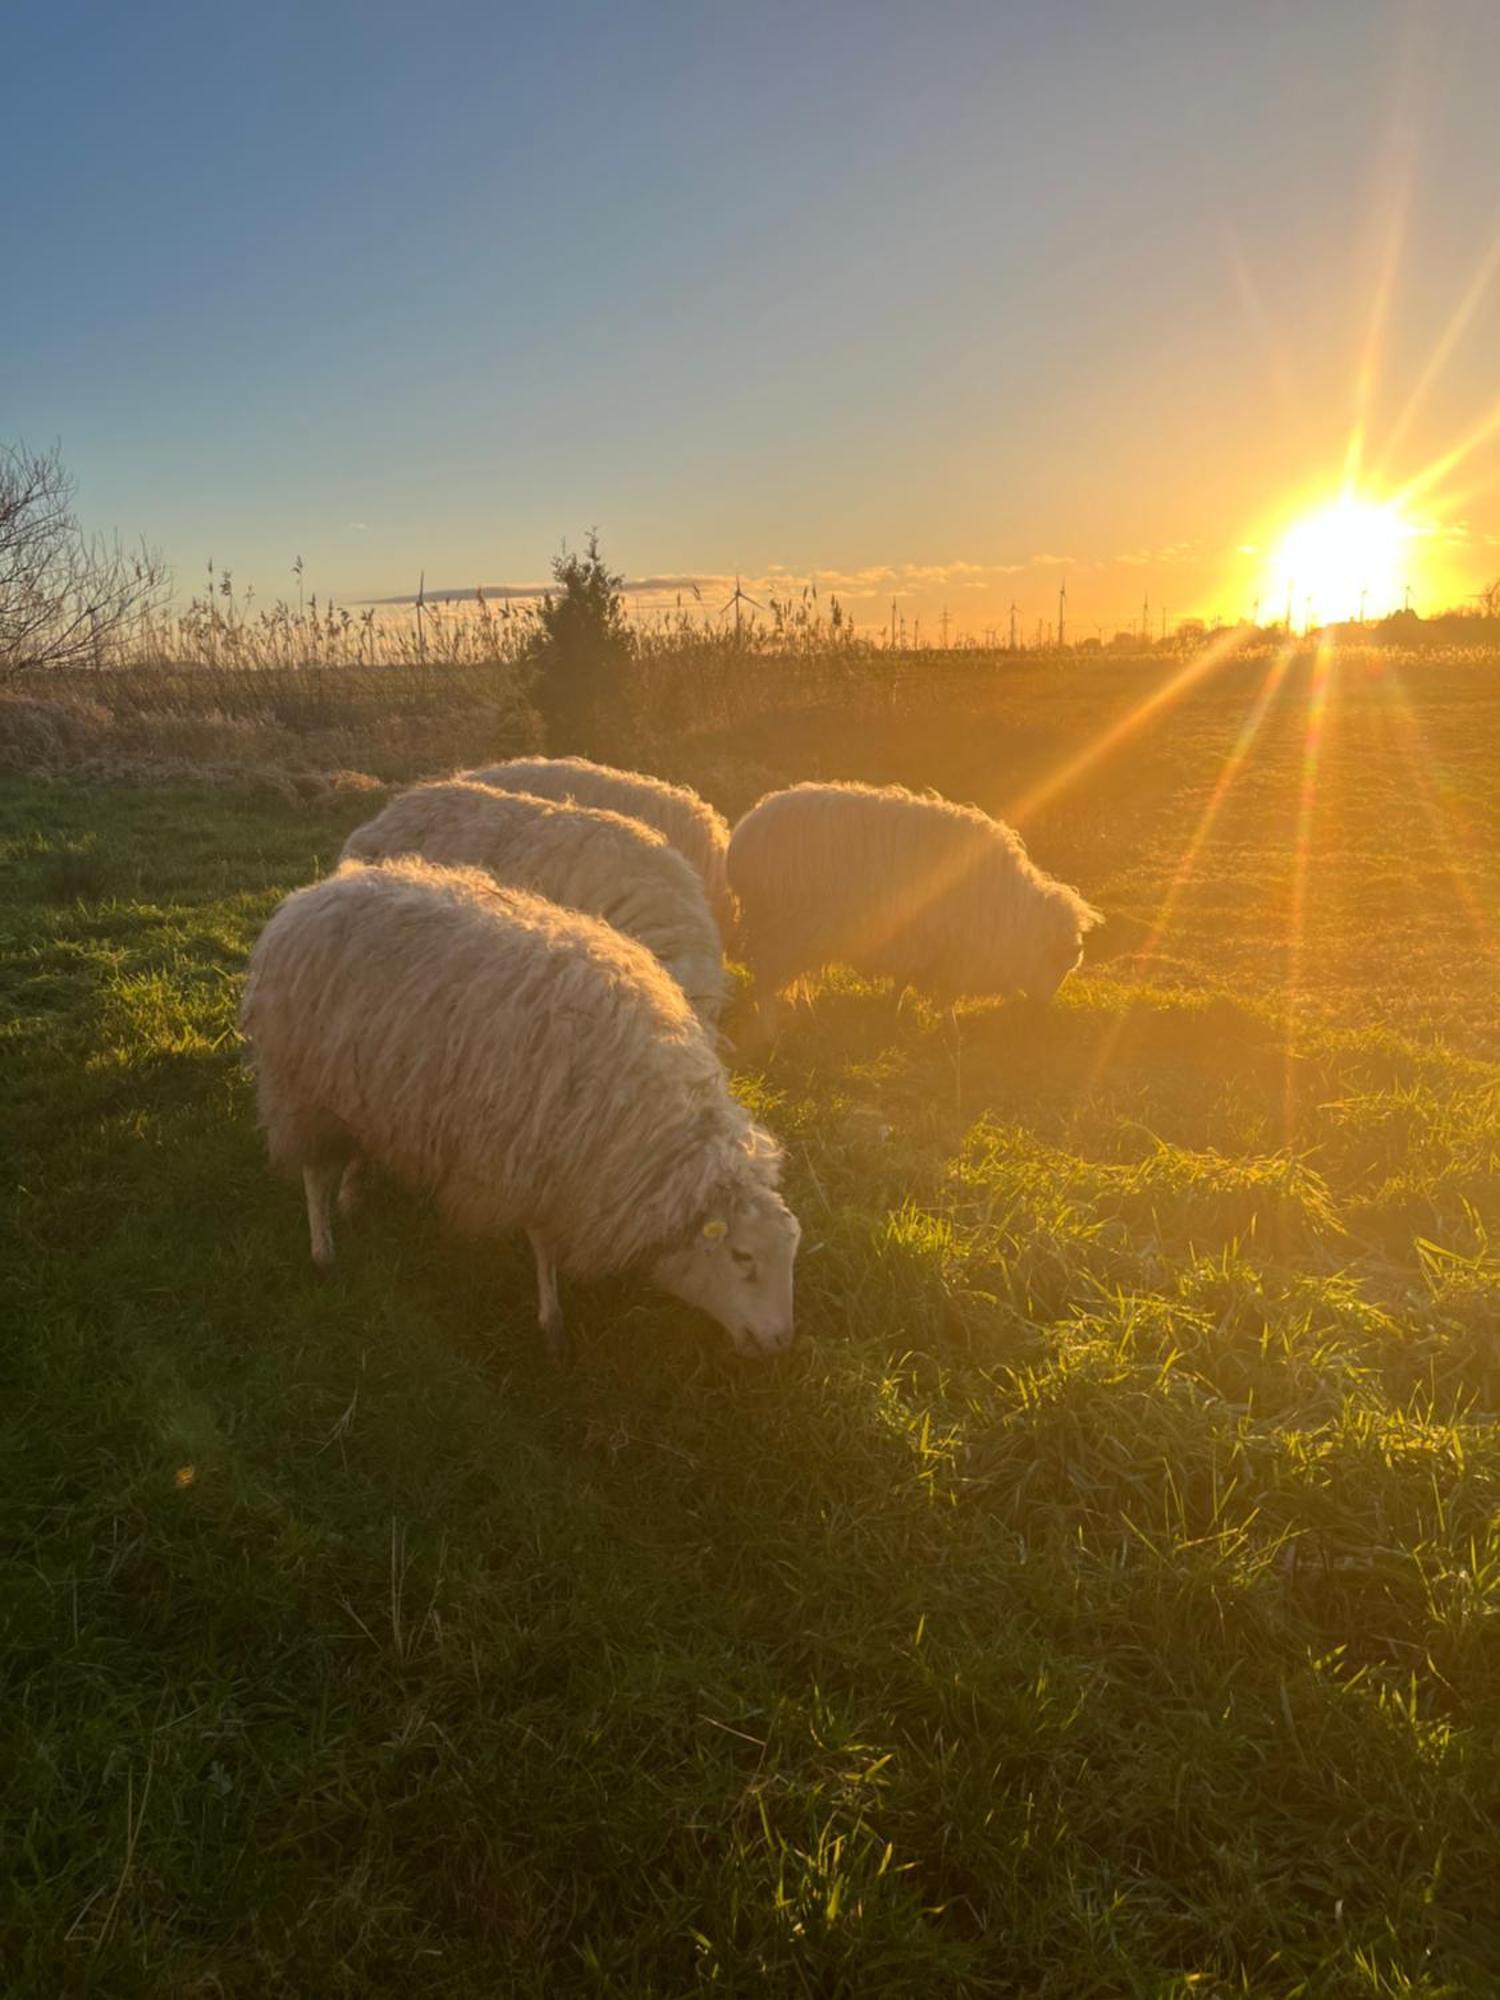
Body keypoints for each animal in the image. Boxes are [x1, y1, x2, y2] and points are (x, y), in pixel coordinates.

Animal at [238, 860, 800, 1360]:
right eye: (743, 1256)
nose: (778, 1343)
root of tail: (308, 897)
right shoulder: (534, 1162)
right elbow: (543, 1244)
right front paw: (552, 1325)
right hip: (302, 1084)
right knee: (312, 1172)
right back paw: (323, 1251)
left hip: (362, 1084)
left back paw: (355, 1193)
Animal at [728, 776, 1104, 1040]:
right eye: (1060, 966)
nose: (1041, 1011)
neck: (1013, 913)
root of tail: (745, 833)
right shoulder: (952, 950)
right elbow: (946, 996)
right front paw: (952, 1032)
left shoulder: (918, 943)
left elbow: (903, 980)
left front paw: (892, 1009)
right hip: (782, 928)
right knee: (766, 982)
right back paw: (770, 1030)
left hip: (799, 936)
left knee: (792, 979)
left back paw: (808, 1015)